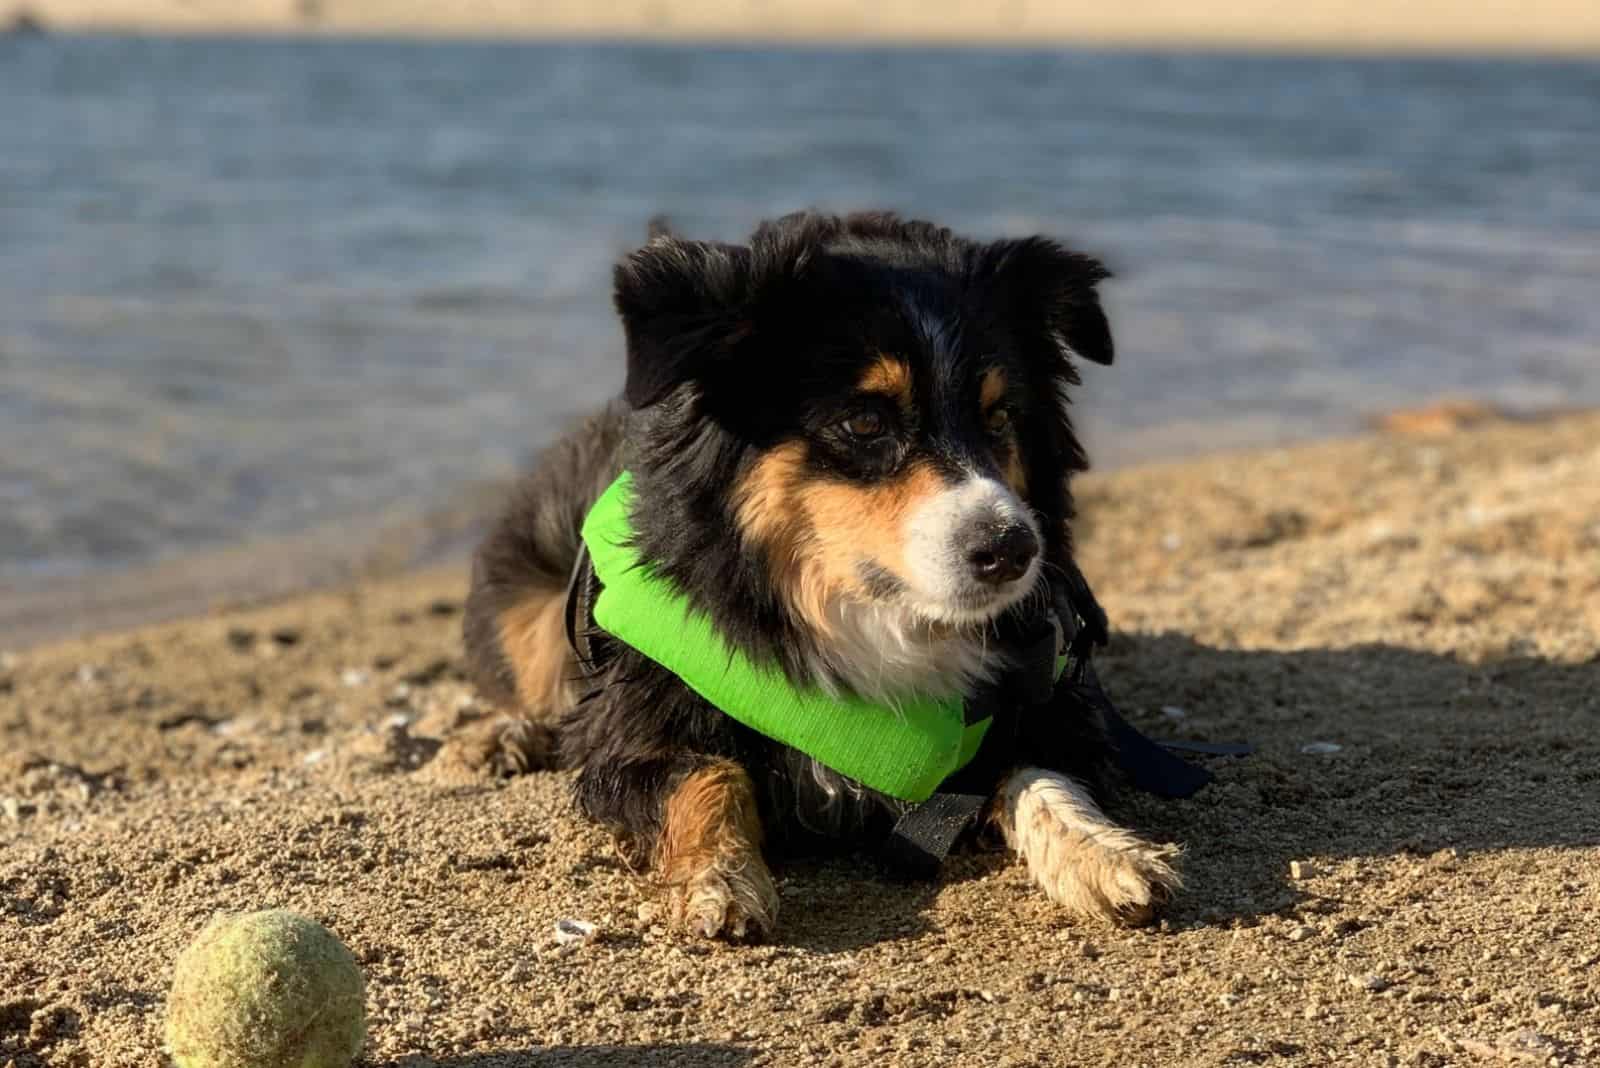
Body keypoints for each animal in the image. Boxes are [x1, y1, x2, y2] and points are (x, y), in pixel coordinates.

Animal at [457, 211, 1184, 940]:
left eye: (1000, 416)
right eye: (864, 421)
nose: (1012, 550)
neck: (859, 614)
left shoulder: (1035, 688)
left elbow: (1043, 772)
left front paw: (1103, 853)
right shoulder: (636, 721)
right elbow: (704, 773)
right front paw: (720, 877)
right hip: (531, 586)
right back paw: (504, 737)